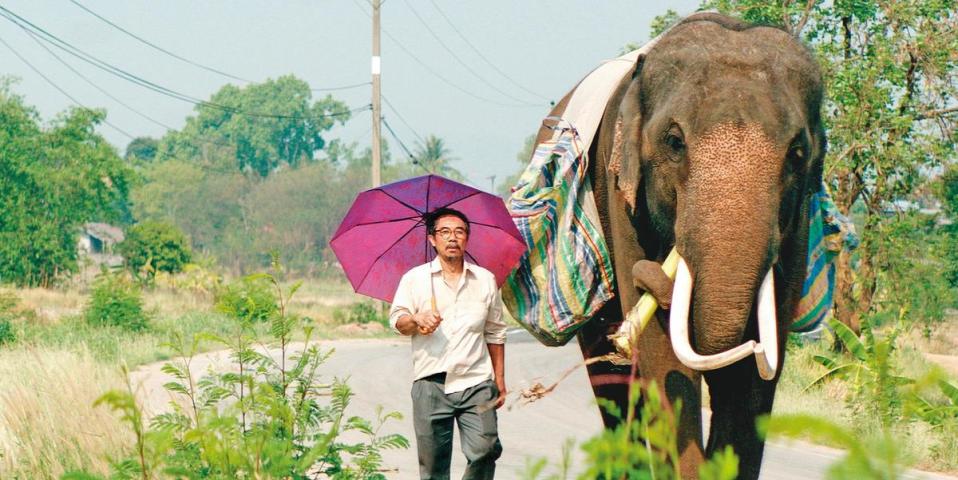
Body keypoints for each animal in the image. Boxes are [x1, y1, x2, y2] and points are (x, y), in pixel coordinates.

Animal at [536, 11, 828, 480]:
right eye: (675, 142)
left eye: (798, 154)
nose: (649, 276)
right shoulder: (620, 189)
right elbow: (664, 359)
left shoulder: (797, 221)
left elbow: (756, 374)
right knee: (611, 377)